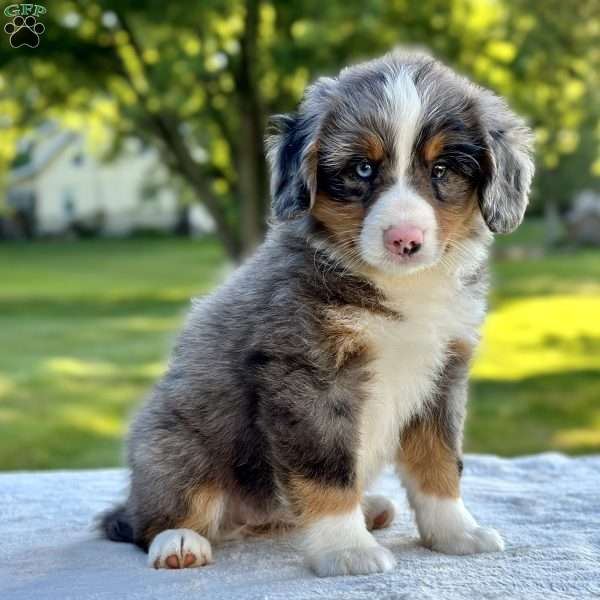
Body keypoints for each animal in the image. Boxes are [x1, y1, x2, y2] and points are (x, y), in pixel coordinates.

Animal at [101, 51, 532, 576]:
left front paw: (455, 532)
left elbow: (440, 463)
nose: (405, 240)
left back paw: (369, 507)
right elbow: (327, 470)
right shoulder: (312, 378)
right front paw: (345, 550)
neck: (399, 289)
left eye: (443, 169)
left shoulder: (442, 374)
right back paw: (179, 541)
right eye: (363, 168)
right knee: (150, 518)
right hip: (173, 446)